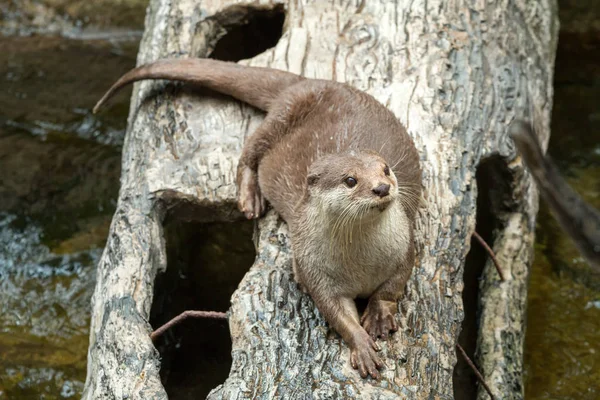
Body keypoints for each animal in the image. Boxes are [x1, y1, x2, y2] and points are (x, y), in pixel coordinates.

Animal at [95, 57, 422, 380]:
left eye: (386, 169)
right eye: (351, 180)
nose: (382, 188)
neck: (361, 263)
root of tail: (305, 81)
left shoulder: (404, 244)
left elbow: (393, 284)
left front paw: (378, 315)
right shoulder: (315, 269)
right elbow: (335, 312)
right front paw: (362, 346)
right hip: (279, 118)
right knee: (248, 153)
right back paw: (250, 197)